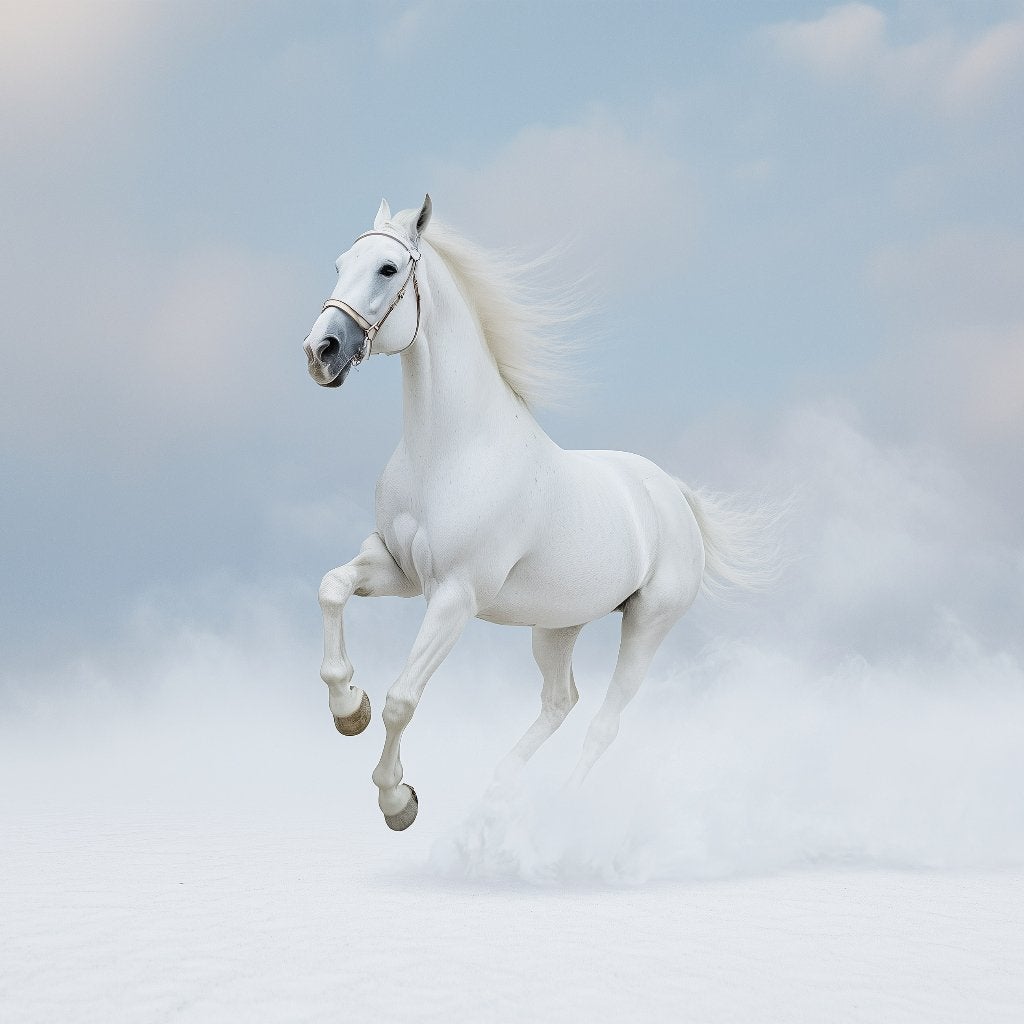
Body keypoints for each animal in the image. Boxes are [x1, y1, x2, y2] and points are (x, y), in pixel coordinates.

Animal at [302, 196, 769, 831]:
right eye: (340, 264)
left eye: (388, 269)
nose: (320, 352)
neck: (452, 449)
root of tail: (672, 495)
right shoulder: (396, 571)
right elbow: (332, 589)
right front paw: (349, 708)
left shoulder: (454, 596)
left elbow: (402, 699)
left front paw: (397, 800)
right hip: (556, 625)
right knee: (559, 701)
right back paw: (496, 794)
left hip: (647, 625)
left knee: (603, 722)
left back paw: (559, 811)